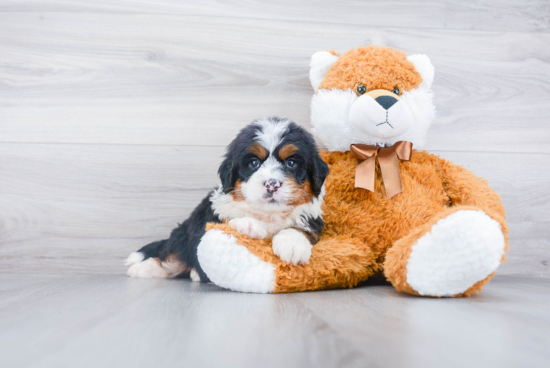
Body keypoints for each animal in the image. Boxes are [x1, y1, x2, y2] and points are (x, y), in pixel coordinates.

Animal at [126, 118, 330, 282]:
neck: (268, 215)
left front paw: (293, 245)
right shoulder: (213, 214)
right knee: (172, 257)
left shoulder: (311, 218)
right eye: (254, 163)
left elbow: (300, 228)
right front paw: (249, 225)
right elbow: (232, 217)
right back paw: (142, 268)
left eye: (291, 163)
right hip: (184, 233)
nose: (272, 184)